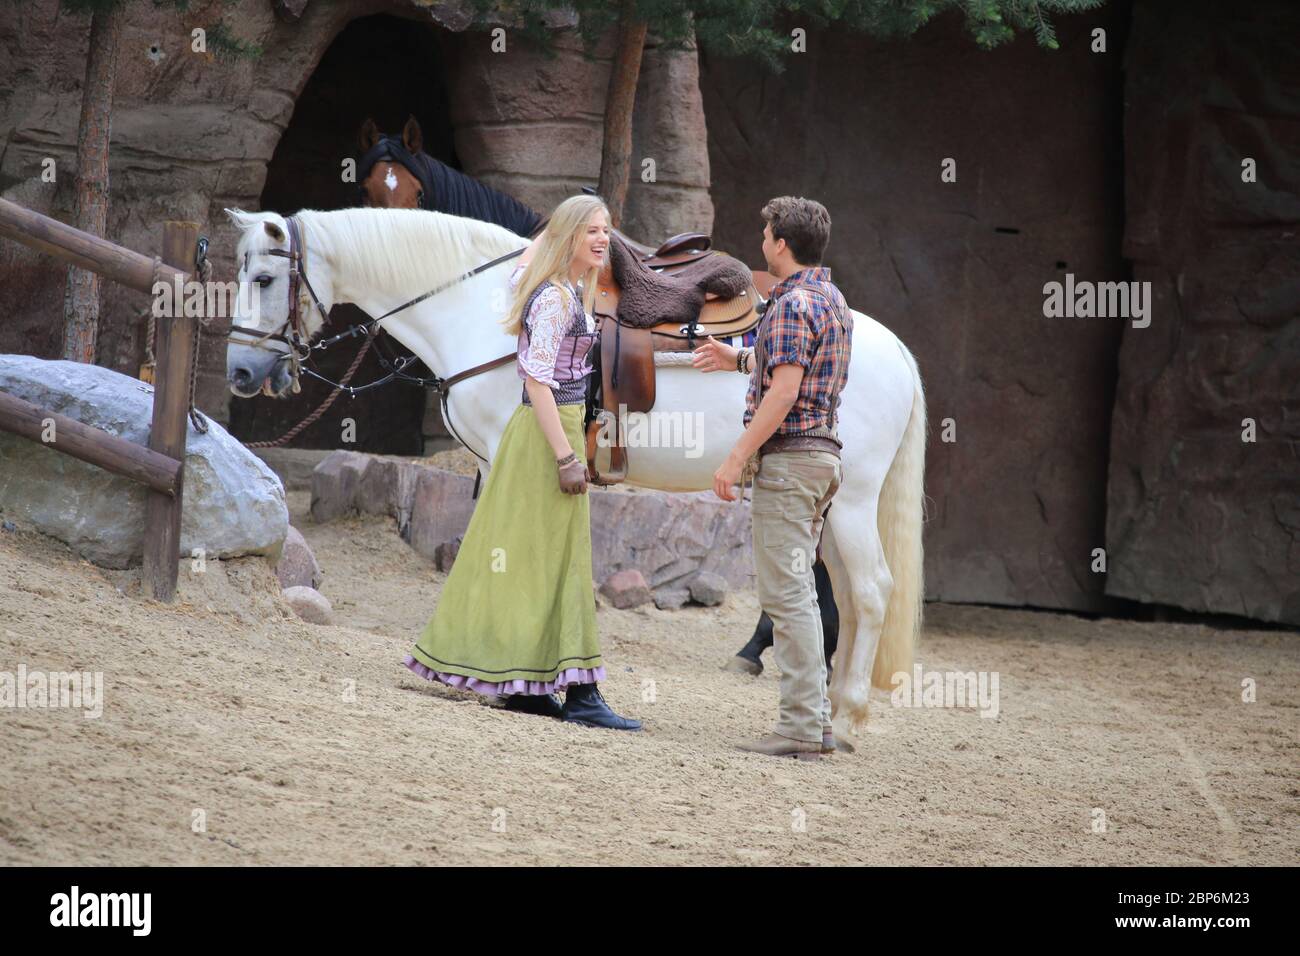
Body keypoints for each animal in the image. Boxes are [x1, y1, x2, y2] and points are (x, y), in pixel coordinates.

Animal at [223, 205, 925, 738]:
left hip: (852, 501)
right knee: (844, 599)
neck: (484, 309)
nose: (240, 371)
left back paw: (850, 717)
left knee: (871, 592)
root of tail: (895, 348)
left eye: (264, 278)